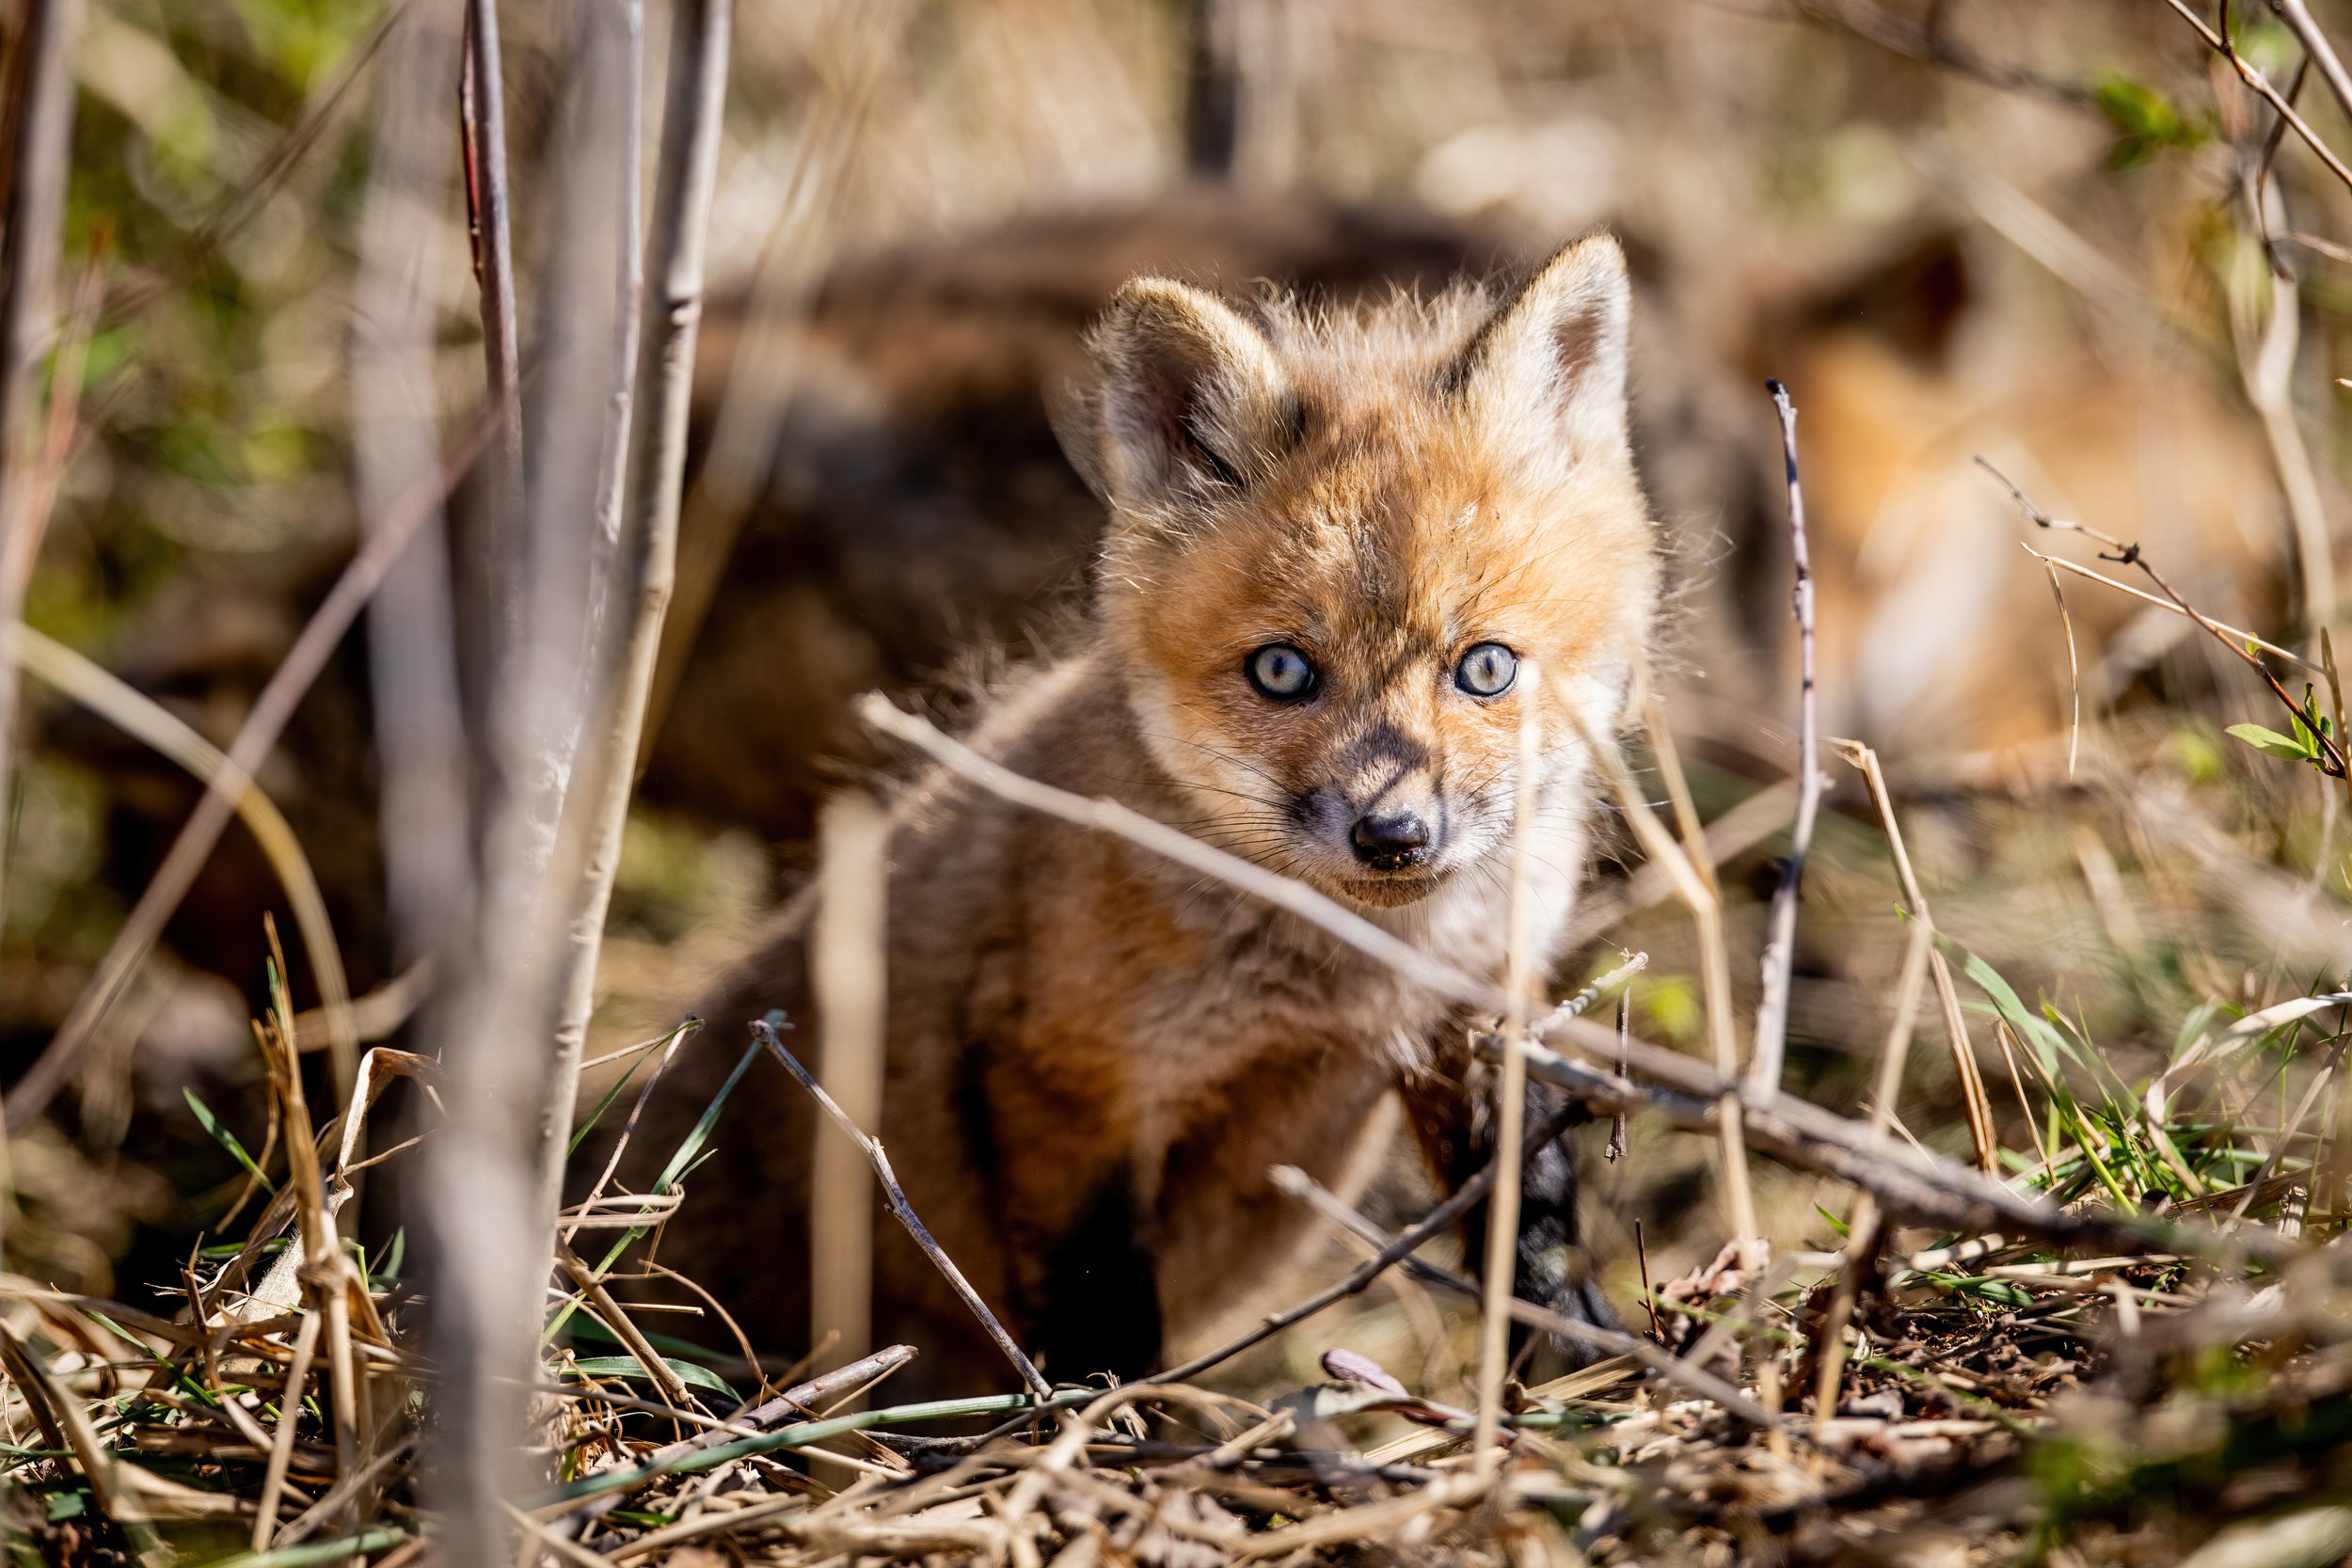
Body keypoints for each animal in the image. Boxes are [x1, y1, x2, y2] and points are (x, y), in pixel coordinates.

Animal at [623, 233, 1662, 1396]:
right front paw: (1109, 1426)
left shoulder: (1479, 1019)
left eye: (1484, 667)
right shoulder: (1067, 1081)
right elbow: (1102, 1315)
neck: (1341, 980)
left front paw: (1580, 1371)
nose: (1393, 835)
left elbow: (1531, 1230)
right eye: (1282, 670)